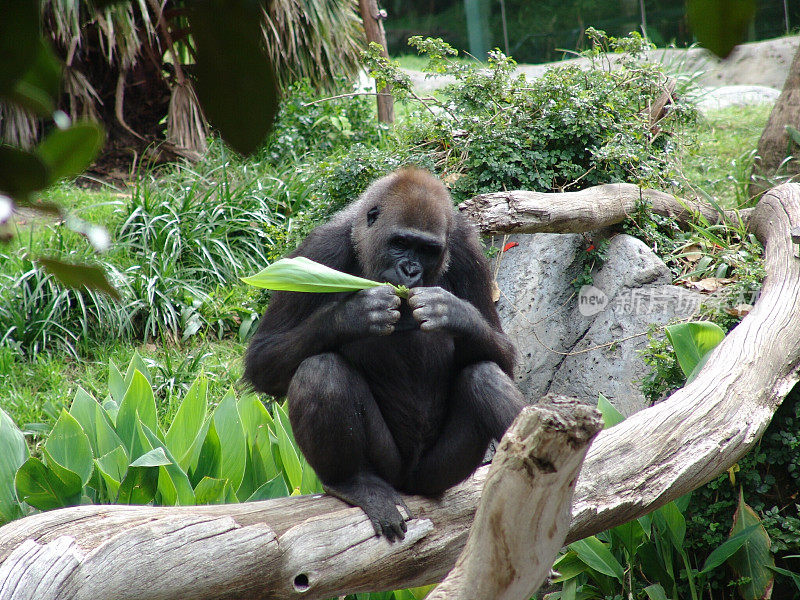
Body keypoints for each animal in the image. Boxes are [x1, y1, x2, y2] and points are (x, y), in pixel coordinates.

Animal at [244, 168, 524, 540]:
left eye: (427, 250)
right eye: (400, 244)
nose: (410, 272)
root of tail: (408, 483)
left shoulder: (467, 250)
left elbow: (503, 356)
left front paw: (453, 313)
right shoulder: (320, 249)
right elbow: (263, 358)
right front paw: (354, 314)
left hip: (435, 477)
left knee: (484, 374)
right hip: (388, 469)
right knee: (320, 370)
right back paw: (352, 482)